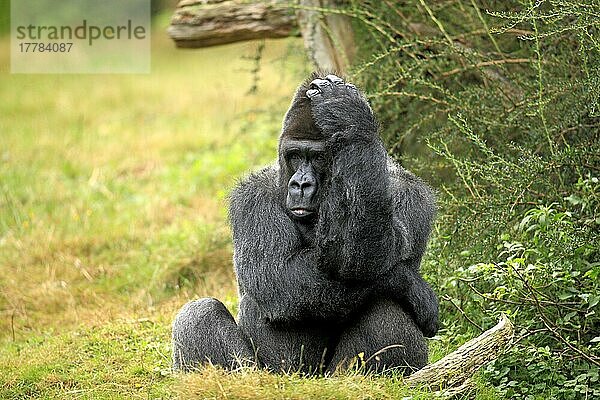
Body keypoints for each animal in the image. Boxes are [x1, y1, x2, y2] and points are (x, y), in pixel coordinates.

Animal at [171, 72, 438, 376]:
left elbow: (360, 259)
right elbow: (279, 274)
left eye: (319, 157)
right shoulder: (252, 196)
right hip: (267, 372)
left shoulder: (408, 191)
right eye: (296, 155)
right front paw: (411, 286)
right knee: (199, 314)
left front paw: (347, 117)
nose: (300, 184)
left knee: (384, 305)